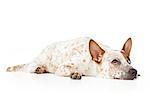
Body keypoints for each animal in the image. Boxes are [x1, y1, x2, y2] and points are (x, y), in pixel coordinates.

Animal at [6, 37, 139, 80]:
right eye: (115, 61)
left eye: (129, 61)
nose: (134, 71)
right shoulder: (62, 68)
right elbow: (71, 70)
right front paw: (75, 73)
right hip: (40, 60)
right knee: (29, 67)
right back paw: (39, 68)